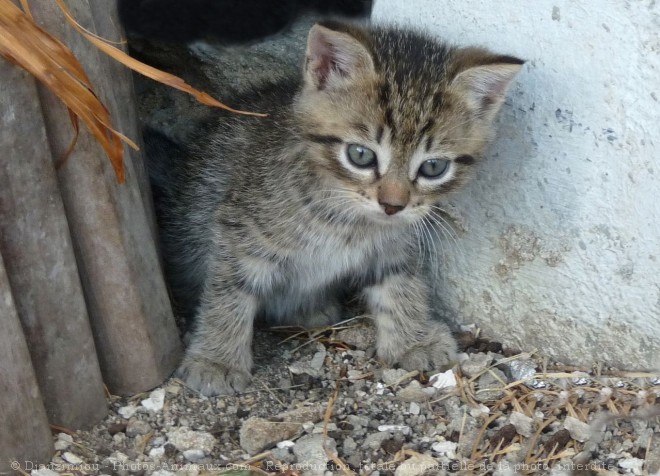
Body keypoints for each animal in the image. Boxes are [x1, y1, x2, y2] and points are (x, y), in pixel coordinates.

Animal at [147, 21, 524, 394]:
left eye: (433, 167)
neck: (348, 219)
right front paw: (217, 359)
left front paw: (413, 340)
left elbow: (400, 281)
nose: (392, 205)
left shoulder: (394, 243)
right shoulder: (239, 230)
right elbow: (229, 292)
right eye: (360, 155)